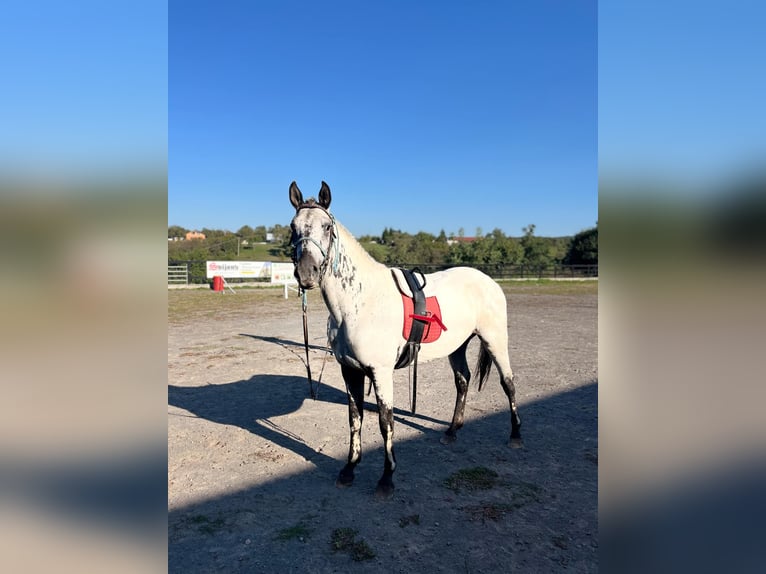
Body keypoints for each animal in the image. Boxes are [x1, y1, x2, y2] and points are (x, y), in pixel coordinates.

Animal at [292, 181, 524, 500]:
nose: (306, 273)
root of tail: (487, 280)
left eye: (327, 227)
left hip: (495, 340)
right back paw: (452, 432)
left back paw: (515, 435)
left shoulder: (380, 372)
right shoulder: (349, 370)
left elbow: (385, 422)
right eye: (293, 227)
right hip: (458, 347)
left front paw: (386, 478)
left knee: (508, 383)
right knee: (463, 381)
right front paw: (349, 470)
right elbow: (355, 418)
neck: (359, 302)